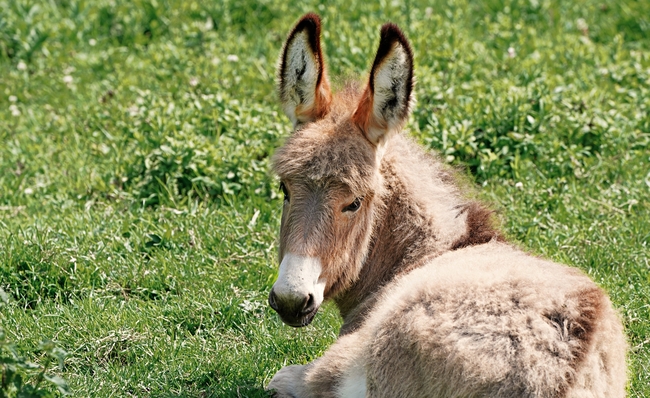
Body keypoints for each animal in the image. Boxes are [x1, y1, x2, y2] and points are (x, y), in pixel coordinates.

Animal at [266, 13, 624, 398]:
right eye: (285, 189)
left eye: (355, 202)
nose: (291, 299)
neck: (428, 252)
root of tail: (555, 377)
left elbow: (284, 378)